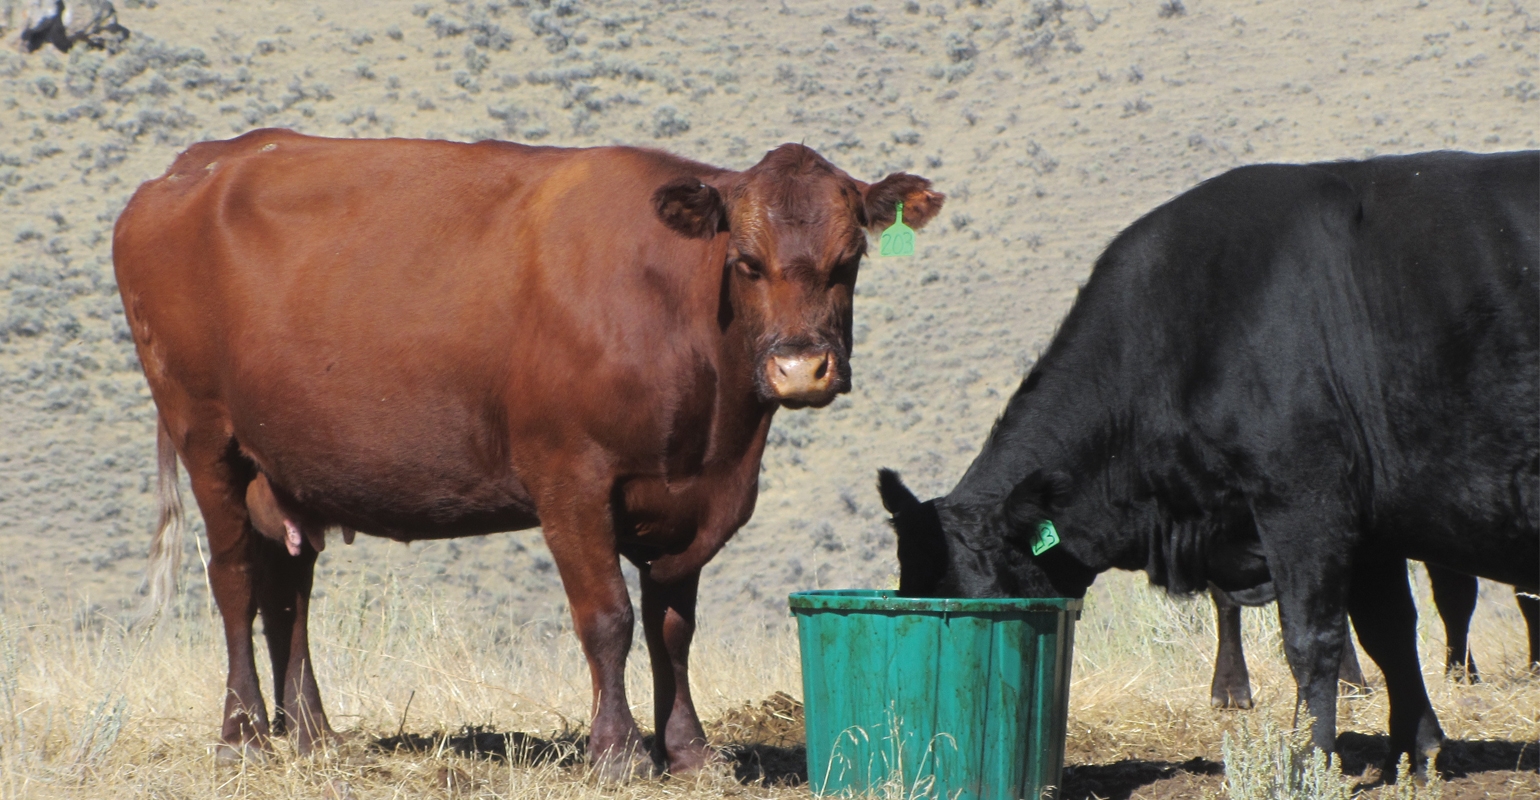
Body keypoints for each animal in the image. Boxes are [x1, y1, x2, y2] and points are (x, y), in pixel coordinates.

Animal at [117, 130, 936, 776]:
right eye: (745, 261)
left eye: (849, 259)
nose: (801, 368)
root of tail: (191, 167)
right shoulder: (570, 479)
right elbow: (608, 617)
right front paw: (618, 753)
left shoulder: (696, 498)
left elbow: (673, 627)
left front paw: (690, 751)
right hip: (206, 436)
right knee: (235, 581)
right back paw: (243, 736)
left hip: (288, 463)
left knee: (289, 589)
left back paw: (315, 736)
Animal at [880, 150, 1540, 770]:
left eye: (976, 596)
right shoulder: (1371, 524)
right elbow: (1389, 632)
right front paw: (1415, 749)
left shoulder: (1305, 499)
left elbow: (1312, 639)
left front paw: (1310, 761)